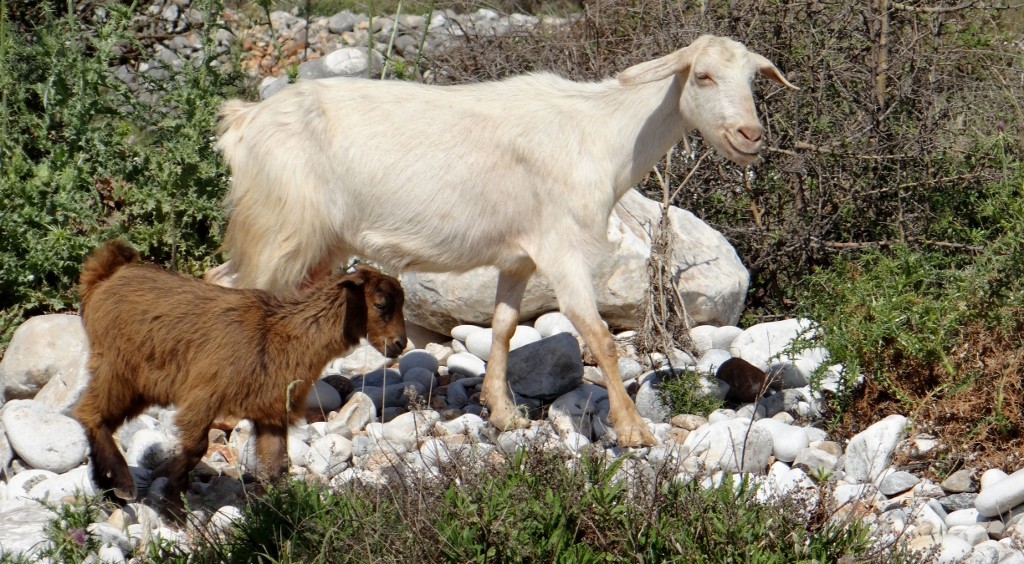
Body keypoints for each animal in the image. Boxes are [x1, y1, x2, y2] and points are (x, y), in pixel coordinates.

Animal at [74, 239, 407, 501]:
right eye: (380, 304)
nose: (400, 344)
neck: (283, 333)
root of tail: (104, 278)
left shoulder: (271, 410)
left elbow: (276, 464)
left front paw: (279, 511)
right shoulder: (204, 393)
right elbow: (196, 446)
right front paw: (171, 500)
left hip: (137, 383)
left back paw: (107, 483)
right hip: (118, 366)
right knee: (88, 412)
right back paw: (123, 483)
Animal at [216, 35, 797, 447]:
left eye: (754, 79)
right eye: (702, 76)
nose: (750, 136)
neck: (599, 134)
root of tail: (243, 121)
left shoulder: (520, 254)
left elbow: (503, 326)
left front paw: (502, 411)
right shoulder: (563, 246)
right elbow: (599, 336)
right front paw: (632, 430)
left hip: (315, 241)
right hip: (278, 228)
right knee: (233, 290)